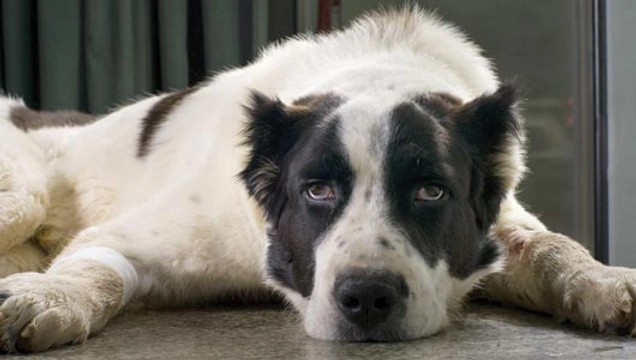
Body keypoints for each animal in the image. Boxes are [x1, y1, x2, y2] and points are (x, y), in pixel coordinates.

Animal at [1, 7, 636, 352]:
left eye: (430, 191)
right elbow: (97, 267)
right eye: (318, 190)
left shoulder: (497, 229)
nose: (368, 297)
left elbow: (552, 246)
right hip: (23, 197)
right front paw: (46, 298)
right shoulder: (134, 238)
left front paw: (605, 279)